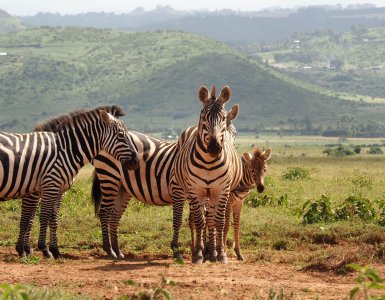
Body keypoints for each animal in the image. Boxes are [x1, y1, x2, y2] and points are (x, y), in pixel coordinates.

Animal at [0, 105, 138, 258]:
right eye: (121, 135)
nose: (136, 162)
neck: (65, 150)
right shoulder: (48, 186)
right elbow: (38, 217)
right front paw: (41, 249)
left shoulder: (58, 190)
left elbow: (52, 219)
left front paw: (54, 250)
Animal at [91, 103, 240, 258]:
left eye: (234, 134)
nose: (217, 151)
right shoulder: (178, 190)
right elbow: (181, 220)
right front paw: (185, 250)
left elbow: (201, 219)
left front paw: (203, 250)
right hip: (109, 177)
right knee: (104, 213)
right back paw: (109, 250)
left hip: (123, 188)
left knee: (114, 216)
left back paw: (117, 251)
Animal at [170, 84, 242, 262]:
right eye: (203, 116)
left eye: (223, 118)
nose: (215, 148)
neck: (209, 162)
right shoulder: (195, 190)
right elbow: (199, 221)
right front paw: (199, 253)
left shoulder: (223, 191)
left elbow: (219, 221)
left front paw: (220, 253)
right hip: (183, 189)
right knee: (185, 218)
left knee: (210, 218)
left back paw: (211, 250)